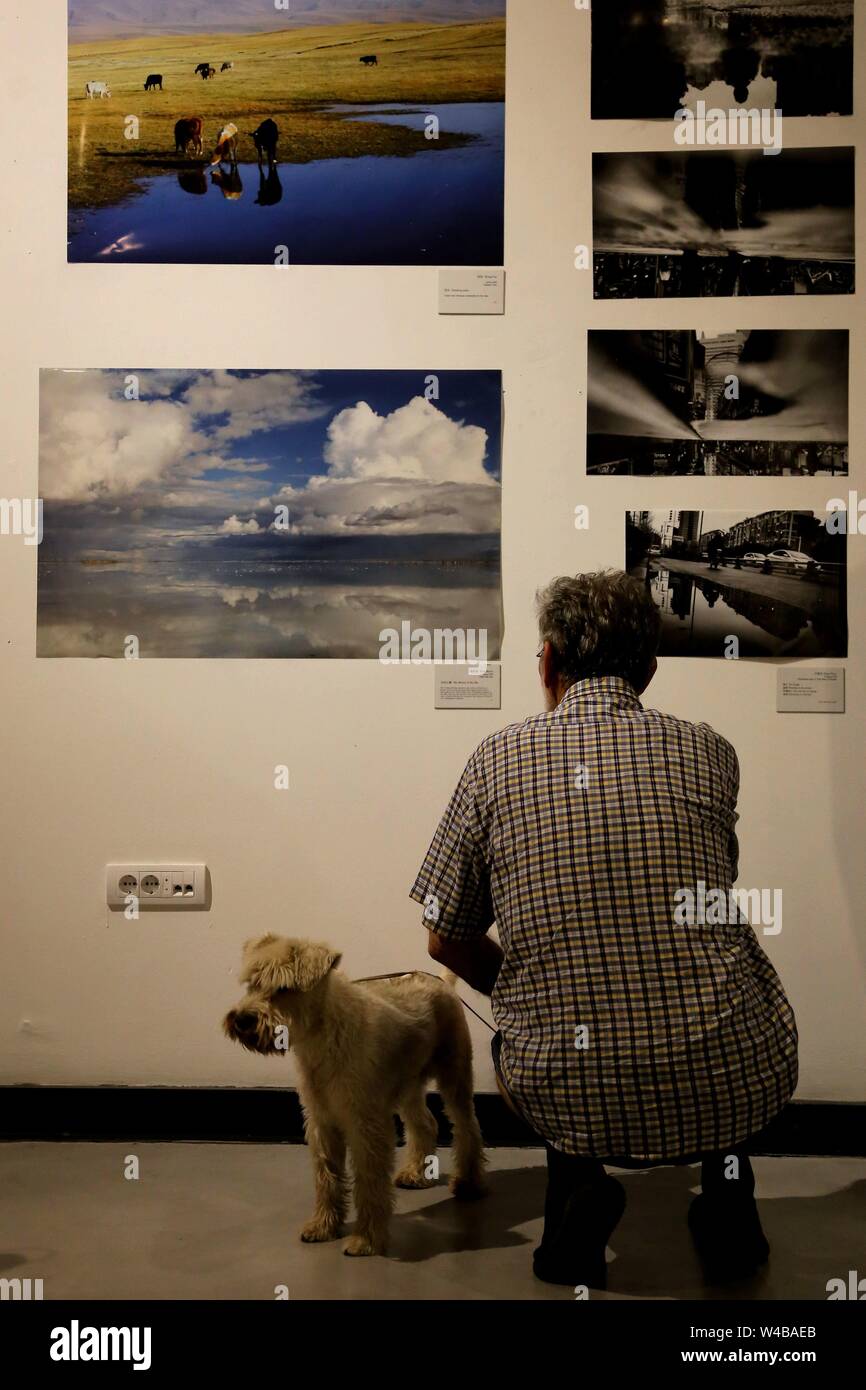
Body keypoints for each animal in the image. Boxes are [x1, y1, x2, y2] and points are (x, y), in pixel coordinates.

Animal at [223, 939, 489, 1256]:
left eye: (284, 988)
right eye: (252, 983)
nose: (242, 1019)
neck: (322, 1037)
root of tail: (441, 981)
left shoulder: (366, 1124)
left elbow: (368, 1181)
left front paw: (366, 1239)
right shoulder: (322, 1122)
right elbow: (327, 1177)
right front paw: (323, 1226)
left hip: (454, 1077)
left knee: (467, 1126)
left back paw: (468, 1183)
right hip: (408, 1087)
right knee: (426, 1124)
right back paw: (417, 1173)